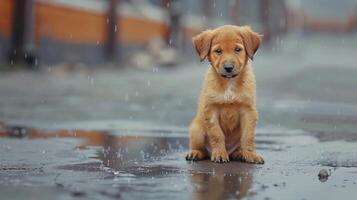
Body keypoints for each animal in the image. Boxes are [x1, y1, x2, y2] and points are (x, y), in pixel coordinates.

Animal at [185, 24, 262, 163]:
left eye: (237, 49)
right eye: (218, 51)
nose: (228, 67)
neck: (229, 82)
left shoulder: (248, 111)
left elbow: (248, 136)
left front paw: (251, 154)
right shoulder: (211, 110)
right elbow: (217, 134)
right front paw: (220, 154)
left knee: (238, 146)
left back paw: (239, 153)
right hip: (196, 131)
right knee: (202, 150)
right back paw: (195, 153)